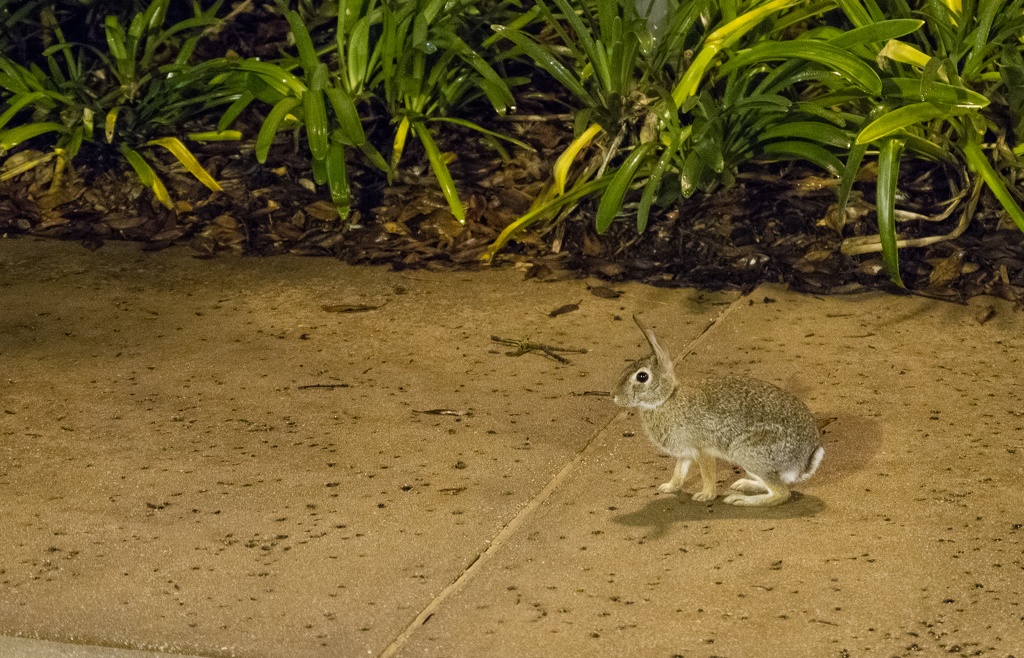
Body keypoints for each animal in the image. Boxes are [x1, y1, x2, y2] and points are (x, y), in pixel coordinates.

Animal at [606, 317, 823, 507]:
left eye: (642, 377)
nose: (613, 395)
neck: (666, 398)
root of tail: (805, 460)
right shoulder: (685, 452)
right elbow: (679, 472)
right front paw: (668, 487)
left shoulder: (703, 449)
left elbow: (707, 475)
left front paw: (705, 495)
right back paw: (743, 485)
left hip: (747, 452)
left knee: (781, 493)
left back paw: (739, 500)